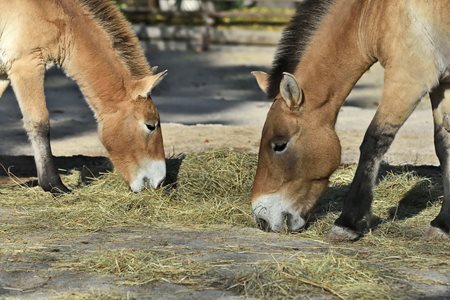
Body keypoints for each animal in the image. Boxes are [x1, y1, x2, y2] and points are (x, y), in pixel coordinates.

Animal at [0, 0, 169, 195]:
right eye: (151, 126)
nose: (160, 181)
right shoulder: (26, 65)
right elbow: (39, 123)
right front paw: (54, 185)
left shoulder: (3, 74)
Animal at [250, 0, 450, 239]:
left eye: (279, 145)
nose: (261, 218)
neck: (376, 13)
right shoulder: (443, 84)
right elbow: (444, 146)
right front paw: (443, 224)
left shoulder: (408, 81)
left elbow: (373, 142)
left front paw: (347, 223)